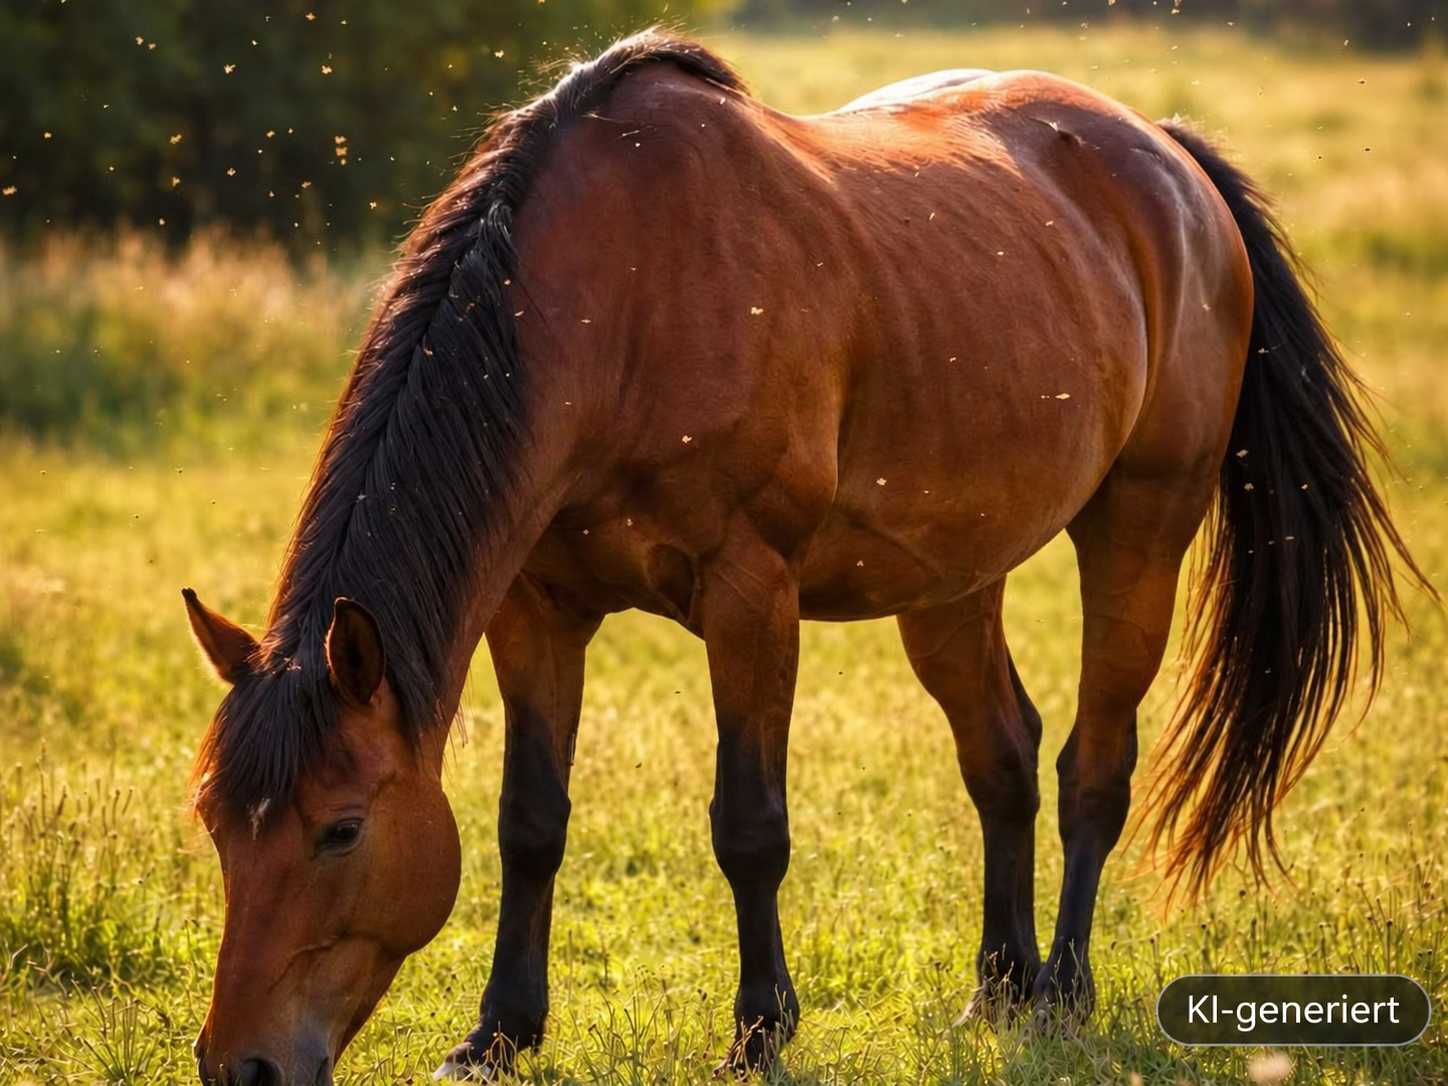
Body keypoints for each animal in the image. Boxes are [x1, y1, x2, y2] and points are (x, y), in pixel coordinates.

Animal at [184, 28, 1428, 1085]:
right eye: (215, 824)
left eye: (340, 829)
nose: (242, 1066)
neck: (615, 297)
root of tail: (1168, 157)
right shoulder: (534, 609)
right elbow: (528, 822)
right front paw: (496, 1035)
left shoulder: (750, 594)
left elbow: (749, 827)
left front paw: (756, 1032)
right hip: (951, 582)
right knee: (1003, 758)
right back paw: (997, 991)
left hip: (1137, 529)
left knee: (1092, 766)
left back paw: (1061, 994)